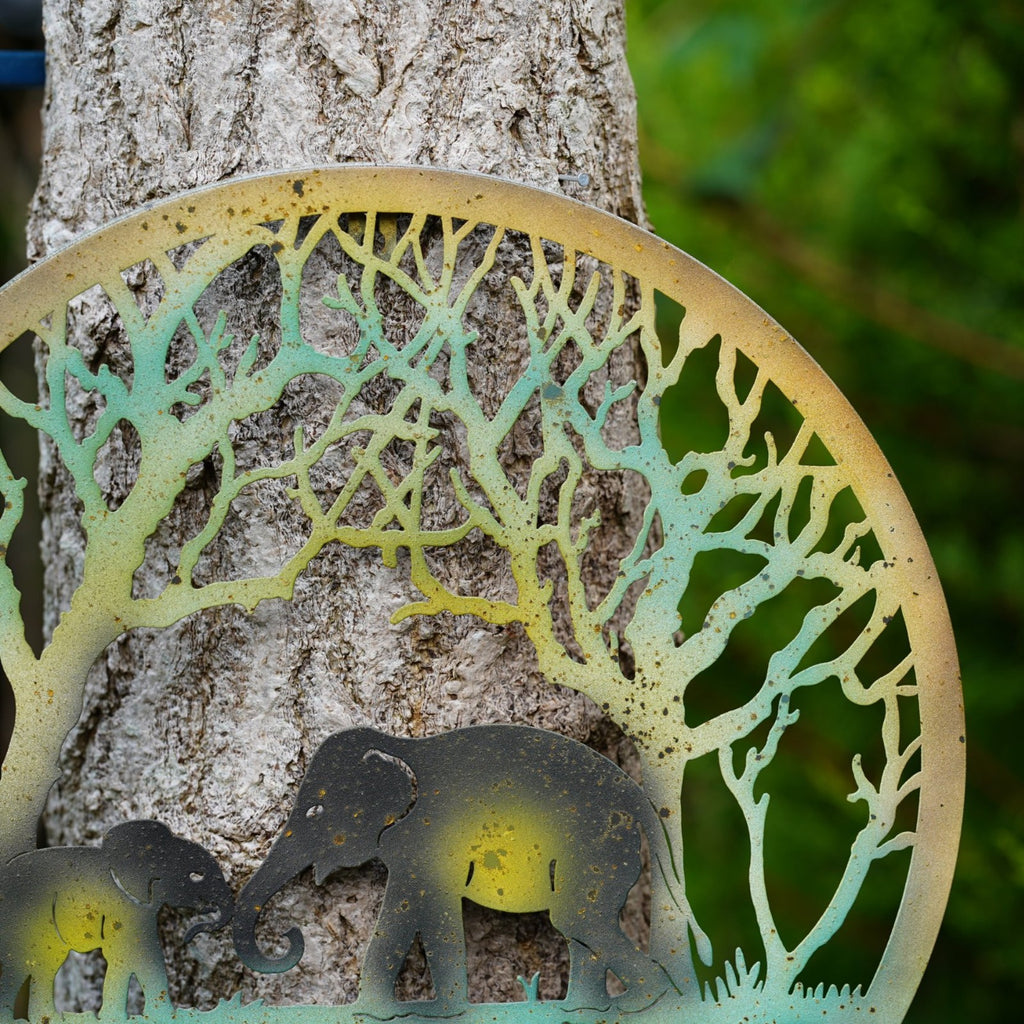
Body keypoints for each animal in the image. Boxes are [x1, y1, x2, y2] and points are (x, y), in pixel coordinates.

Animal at [234, 724, 671, 1013]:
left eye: (316, 810)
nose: (290, 936)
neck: (402, 749)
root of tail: (638, 800)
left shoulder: (428, 843)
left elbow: (425, 916)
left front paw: (410, 1013)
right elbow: (418, 917)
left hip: (598, 847)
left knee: (576, 921)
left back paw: (641, 1002)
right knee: (583, 926)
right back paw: (580, 1010)